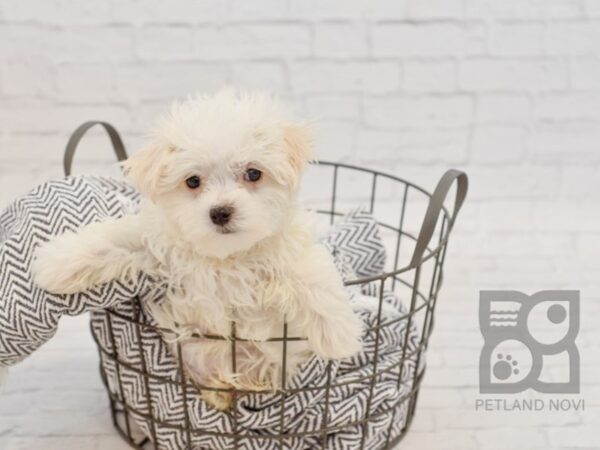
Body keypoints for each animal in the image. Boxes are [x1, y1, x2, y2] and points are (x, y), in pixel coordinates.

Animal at [32, 89, 364, 410]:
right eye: (192, 181)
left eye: (253, 173)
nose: (220, 212)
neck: (224, 258)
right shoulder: (160, 248)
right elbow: (115, 238)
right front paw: (54, 263)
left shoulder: (288, 252)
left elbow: (312, 274)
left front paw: (339, 334)